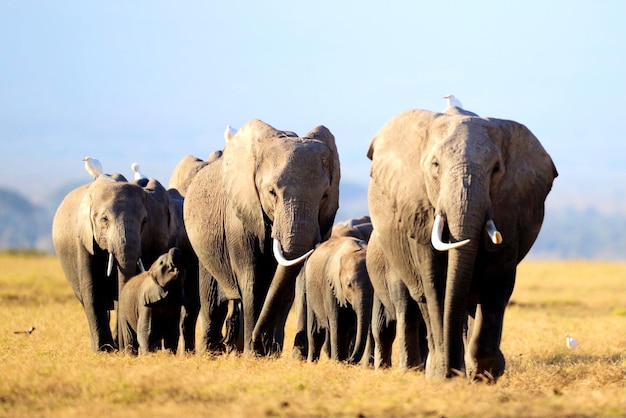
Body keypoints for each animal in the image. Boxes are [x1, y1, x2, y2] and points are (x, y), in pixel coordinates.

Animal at [51, 175, 176, 352]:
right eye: (104, 219)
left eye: (144, 221)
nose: (129, 348)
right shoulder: (83, 238)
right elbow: (92, 288)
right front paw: (103, 351)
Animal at [183, 118, 338, 356]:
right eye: (271, 192)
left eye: (325, 195)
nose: (257, 340)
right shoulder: (241, 215)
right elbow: (253, 281)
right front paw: (253, 354)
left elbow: (289, 283)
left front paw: (268, 353)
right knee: (212, 298)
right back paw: (212, 353)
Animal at [302, 233, 370, 364]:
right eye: (349, 285)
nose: (349, 360)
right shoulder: (330, 286)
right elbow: (339, 324)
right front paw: (338, 363)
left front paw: (341, 362)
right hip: (310, 290)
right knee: (315, 332)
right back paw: (312, 363)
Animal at [366, 108, 556, 382]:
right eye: (435, 166)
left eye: (496, 169)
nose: (451, 372)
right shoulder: (420, 208)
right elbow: (436, 284)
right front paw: (444, 376)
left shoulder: (512, 207)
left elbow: (496, 284)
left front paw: (484, 374)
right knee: (415, 302)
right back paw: (418, 369)